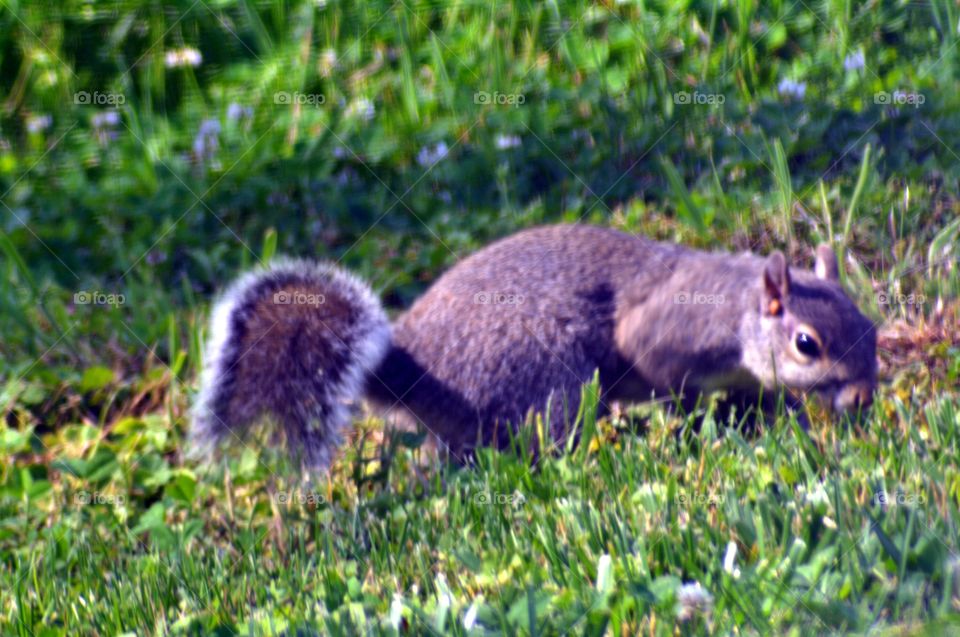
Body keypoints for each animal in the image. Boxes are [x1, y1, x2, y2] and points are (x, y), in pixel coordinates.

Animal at [190, 224, 877, 469]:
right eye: (807, 344)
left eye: (871, 328)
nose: (865, 398)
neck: (736, 311)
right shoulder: (665, 333)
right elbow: (668, 380)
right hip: (547, 375)